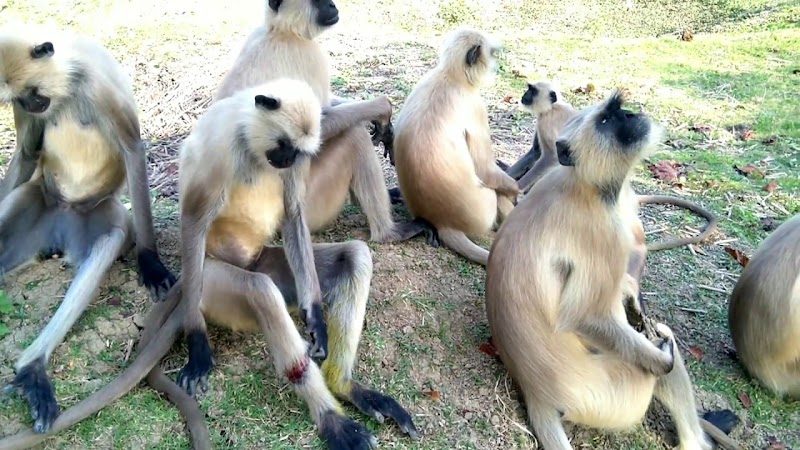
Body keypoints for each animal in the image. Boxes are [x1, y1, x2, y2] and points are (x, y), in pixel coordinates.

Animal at [0, 28, 175, 435]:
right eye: (20, 98)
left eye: (33, 91)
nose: (34, 106)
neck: (66, 83)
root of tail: (61, 226)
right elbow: (27, 153)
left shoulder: (97, 85)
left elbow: (132, 147)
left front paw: (151, 263)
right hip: (39, 199)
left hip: (97, 216)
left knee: (109, 240)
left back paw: (32, 368)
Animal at [0, 78, 420, 450]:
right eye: (282, 144)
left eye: (293, 150)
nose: (286, 159)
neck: (251, 144)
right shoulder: (219, 151)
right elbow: (193, 221)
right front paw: (198, 346)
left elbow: (294, 214)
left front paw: (315, 318)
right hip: (213, 281)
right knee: (260, 291)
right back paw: (334, 423)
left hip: (266, 261)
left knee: (355, 255)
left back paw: (347, 388)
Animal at [212, 0, 432, 245]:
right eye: (317, 1)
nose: (332, 4)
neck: (280, 30)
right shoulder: (308, 55)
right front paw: (382, 108)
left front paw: (385, 127)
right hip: (311, 203)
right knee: (354, 135)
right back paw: (389, 233)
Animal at [391, 26, 520, 266]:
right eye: (492, 54)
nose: (496, 65)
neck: (449, 76)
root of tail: (443, 222)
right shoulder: (476, 105)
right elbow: (486, 170)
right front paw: (517, 191)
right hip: (483, 210)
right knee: (496, 191)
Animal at [484, 91, 740, 450]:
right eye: (606, 120)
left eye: (620, 112)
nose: (631, 115)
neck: (584, 185)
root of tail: (536, 394)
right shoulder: (602, 232)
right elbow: (585, 318)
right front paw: (661, 356)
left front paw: (632, 296)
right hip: (617, 392)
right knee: (660, 345)